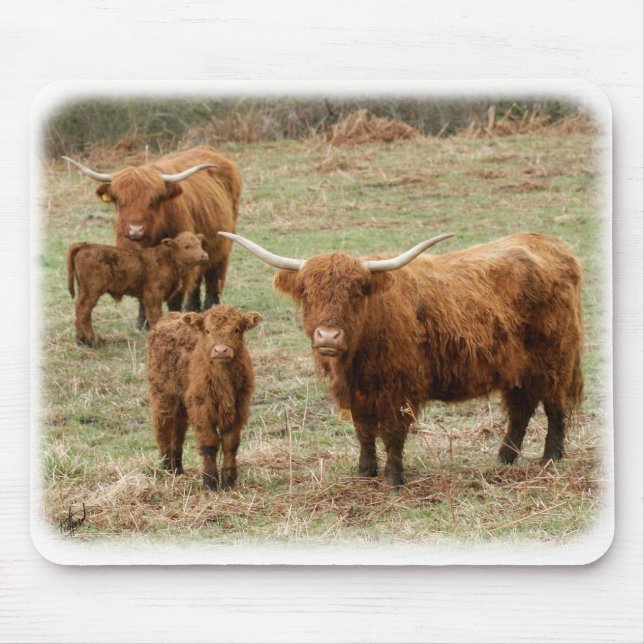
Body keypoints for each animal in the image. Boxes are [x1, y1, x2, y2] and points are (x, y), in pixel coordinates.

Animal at [63, 145, 241, 326]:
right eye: (119, 200)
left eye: (153, 200)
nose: (135, 230)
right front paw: (143, 323)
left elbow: (176, 296)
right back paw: (193, 308)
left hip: (222, 246)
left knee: (214, 279)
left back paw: (212, 310)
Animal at [67, 231, 209, 346]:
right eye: (187, 246)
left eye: (200, 245)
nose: (204, 255)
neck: (167, 260)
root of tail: (86, 245)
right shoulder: (153, 296)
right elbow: (155, 316)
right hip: (92, 291)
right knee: (83, 311)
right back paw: (92, 341)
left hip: (84, 290)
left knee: (79, 310)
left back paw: (81, 341)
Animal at [147, 305, 262, 490]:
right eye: (207, 330)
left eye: (237, 329)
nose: (221, 350)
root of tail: (171, 315)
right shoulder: (202, 409)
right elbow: (209, 444)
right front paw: (210, 482)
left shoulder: (239, 409)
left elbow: (230, 444)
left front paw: (229, 481)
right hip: (162, 394)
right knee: (163, 427)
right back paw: (166, 469)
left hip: (182, 403)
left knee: (178, 432)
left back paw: (178, 469)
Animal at [219, 230, 584, 487]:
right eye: (307, 293)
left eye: (356, 293)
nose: (328, 337)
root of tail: (551, 245)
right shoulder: (358, 394)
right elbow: (364, 432)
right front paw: (364, 473)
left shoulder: (400, 389)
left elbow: (394, 434)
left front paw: (393, 479)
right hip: (517, 369)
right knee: (521, 409)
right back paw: (505, 458)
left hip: (554, 361)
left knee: (554, 407)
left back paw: (550, 458)